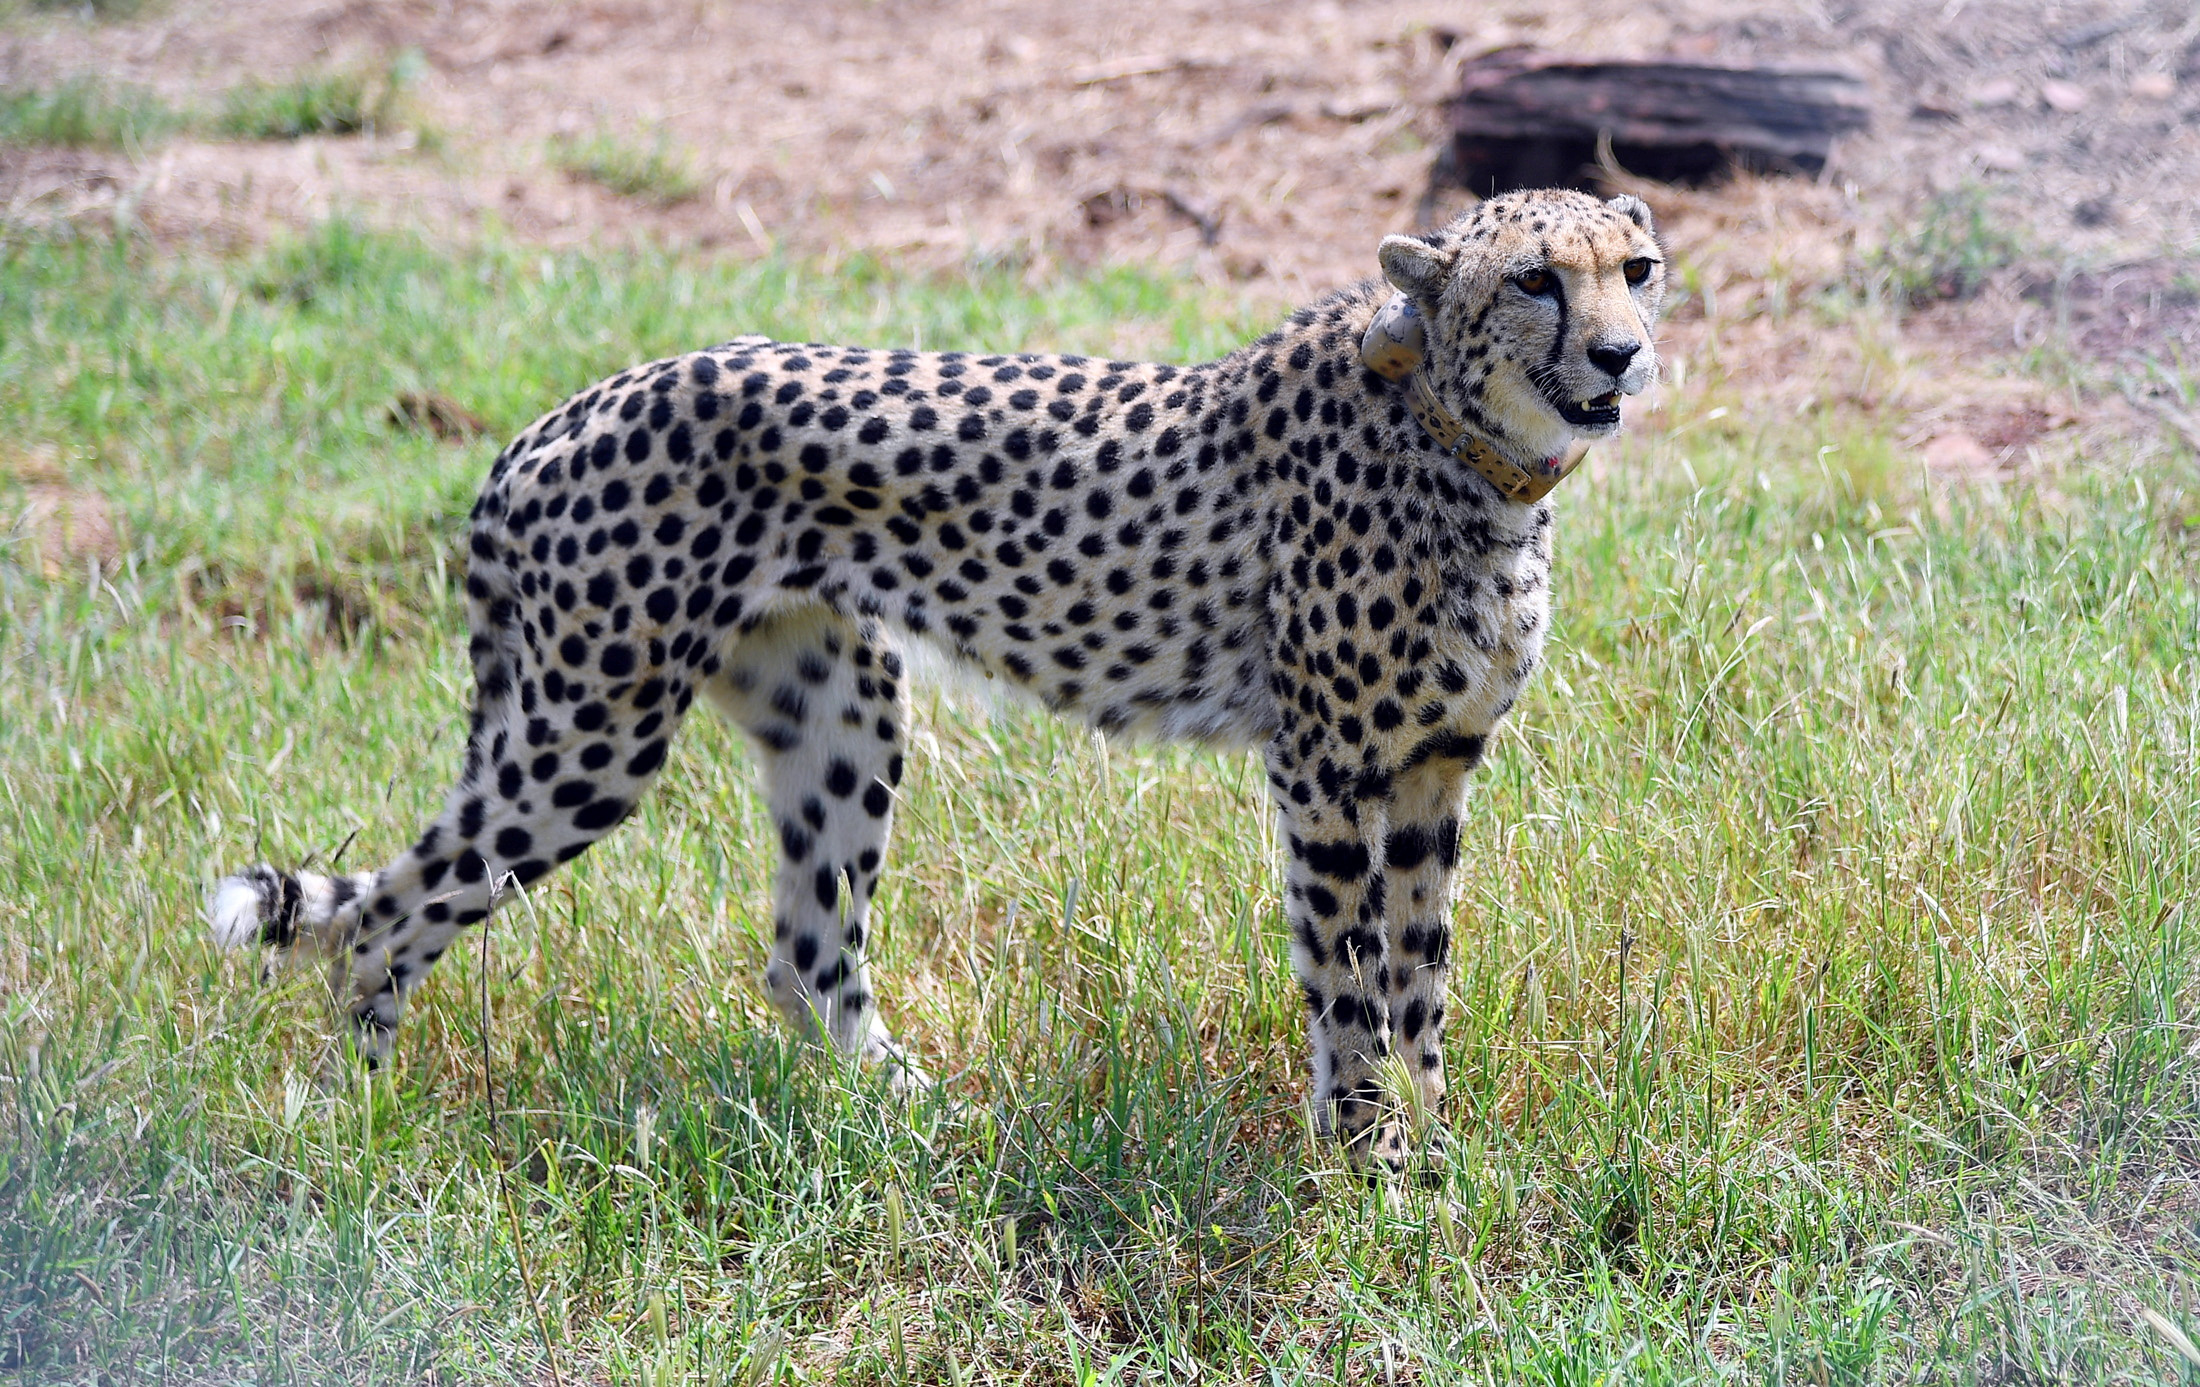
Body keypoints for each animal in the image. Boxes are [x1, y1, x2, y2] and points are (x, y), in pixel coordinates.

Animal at [209, 187, 1666, 1174]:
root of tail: (559, 414)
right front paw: (1369, 1163)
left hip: (838, 705)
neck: (1468, 447)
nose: (1621, 354)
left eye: (1637, 270)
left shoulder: (1430, 769)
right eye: (1537, 280)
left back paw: (914, 1120)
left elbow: (1422, 976)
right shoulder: (1325, 770)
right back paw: (357, 1119)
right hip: (591, 732)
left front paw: (1436, 1151)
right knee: (385, 914)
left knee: (806, 952)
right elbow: (1349, 980)